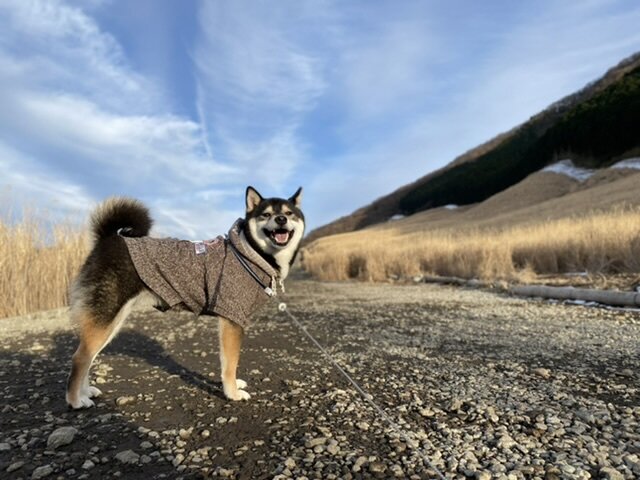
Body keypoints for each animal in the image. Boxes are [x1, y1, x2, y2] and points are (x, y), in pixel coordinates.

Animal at [65, 188, 304, 408]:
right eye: (266, 214)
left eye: (288, 213)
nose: (281, 219)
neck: (251, 253)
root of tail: (108, 239)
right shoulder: (232, 319)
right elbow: (230, 363)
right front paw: (232, 393)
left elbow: (229, 362)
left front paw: (234, 385)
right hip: (106, 315)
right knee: (80, 358)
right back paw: (76, 401)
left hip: (112, 321)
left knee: (88, 356)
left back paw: (86, 392)